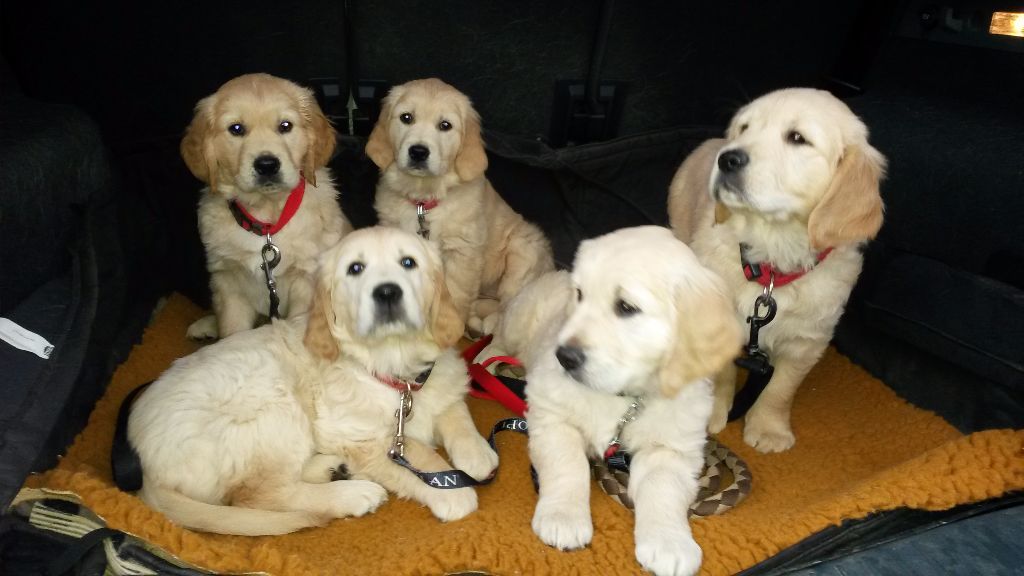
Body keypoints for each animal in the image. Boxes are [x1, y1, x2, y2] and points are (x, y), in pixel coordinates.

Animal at [128, 227, 498, 535]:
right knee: (259, 495)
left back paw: (332, 469)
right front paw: (452, 492)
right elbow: (414, 456)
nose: (387, 292)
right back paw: (353, 494)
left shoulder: (440, 378)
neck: (393, 367)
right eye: (355, 269)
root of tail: (147, 468)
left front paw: (477, 452)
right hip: (274, 409)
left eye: (409, 262)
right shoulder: (357, 434)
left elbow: (454, 410)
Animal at [181, 73, 352, 340]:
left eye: (285, 126)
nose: (267, 165)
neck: (267, 221)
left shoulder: (305, 282)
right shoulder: (229, 284)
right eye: (236, 129)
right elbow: (232, 332)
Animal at [366, 78, 554, 333]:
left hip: (524, 252)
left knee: (510, 304)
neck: (424, 202)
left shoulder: (462, 253)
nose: (418, 152)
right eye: (406, 118)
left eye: (445, 125)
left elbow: (456, 295)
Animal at [484, 226, 741, 576]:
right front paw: (563, 517)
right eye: (579, 295)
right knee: (497, 337)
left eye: (626, 307)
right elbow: (570, 464)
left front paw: (670, 543)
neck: (624, 395)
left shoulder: (671, 448)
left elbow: (662, 486)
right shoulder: (552, 414)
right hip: (519, 321)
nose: (564, 357)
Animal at [668, 87, 886, 453]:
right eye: (744, 128)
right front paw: (714, 413)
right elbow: (723, 372)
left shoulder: (807, 340)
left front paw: (769, 429)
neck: (771, 259)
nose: (727, 159)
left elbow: (781, 389)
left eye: (797, 138)